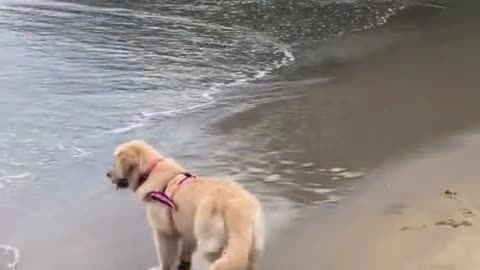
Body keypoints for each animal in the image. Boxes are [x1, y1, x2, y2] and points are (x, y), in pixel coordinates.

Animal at [106, 140, 264, 270]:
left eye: (116, 162)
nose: (107, 174)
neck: (149, 171)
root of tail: (237, 209)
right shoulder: (187, 230)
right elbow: (185, 253)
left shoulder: (163, 232)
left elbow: (165, 257)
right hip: (253, 245)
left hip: (210, 243)